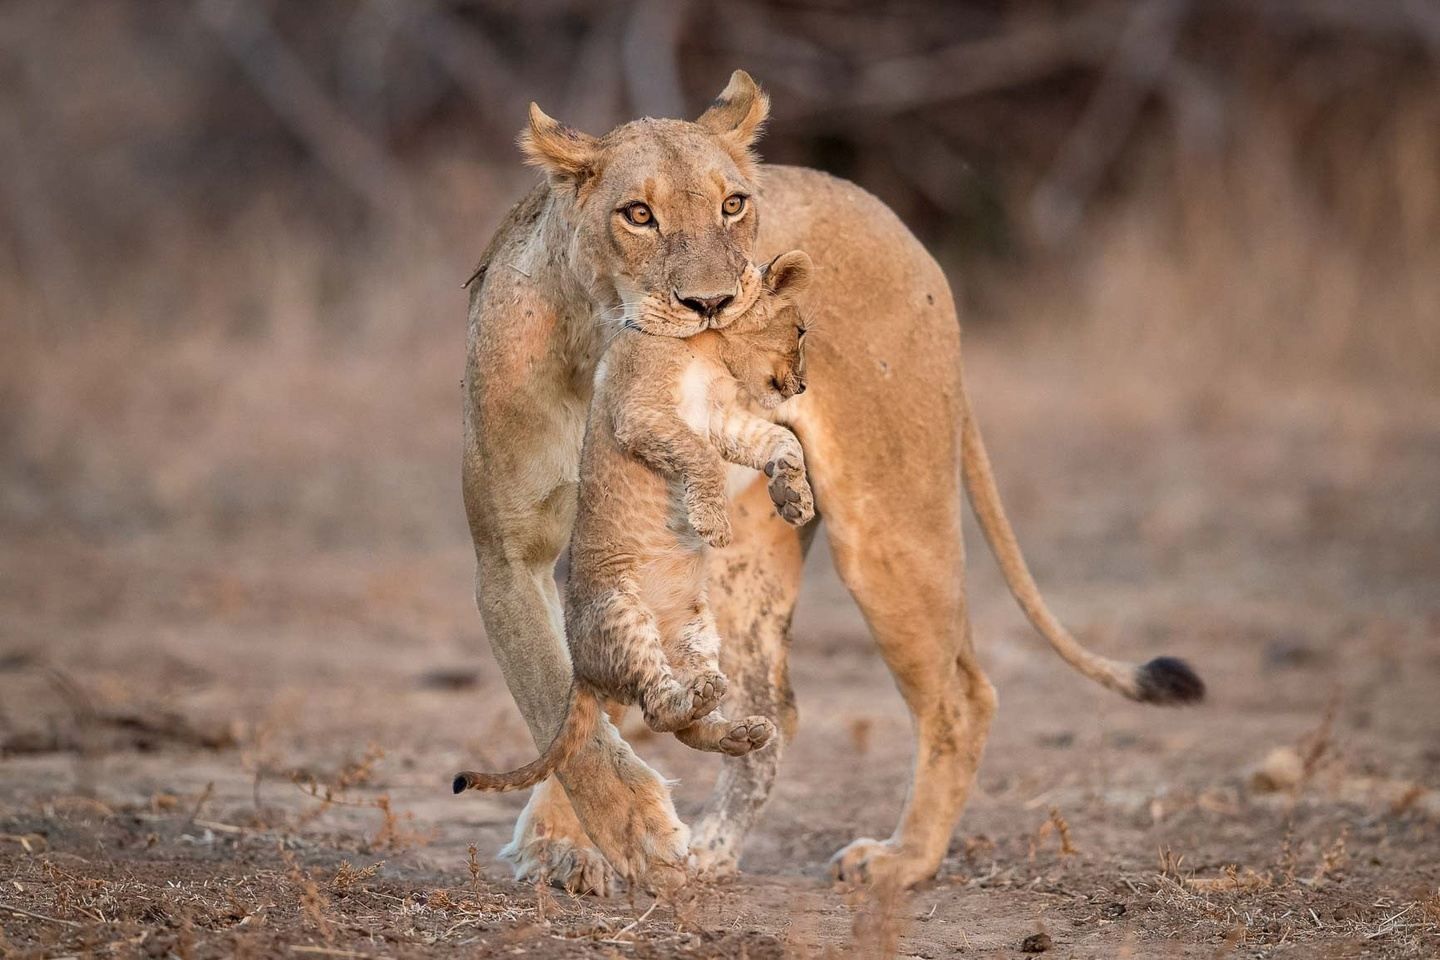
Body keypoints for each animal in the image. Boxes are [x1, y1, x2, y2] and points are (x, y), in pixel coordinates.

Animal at [453, 250, 814, 795]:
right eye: (800, 331)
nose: (803, 385)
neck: (709, 349)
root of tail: (580, 669)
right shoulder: (642, 411)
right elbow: (702, 459)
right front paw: (713, 523)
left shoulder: (720, 421)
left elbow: (779, 439)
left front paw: (795, 499)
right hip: (621, 610)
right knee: (657, 708)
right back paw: (702, 699)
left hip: (698, 631)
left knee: (684, 725)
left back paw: (738, 730)